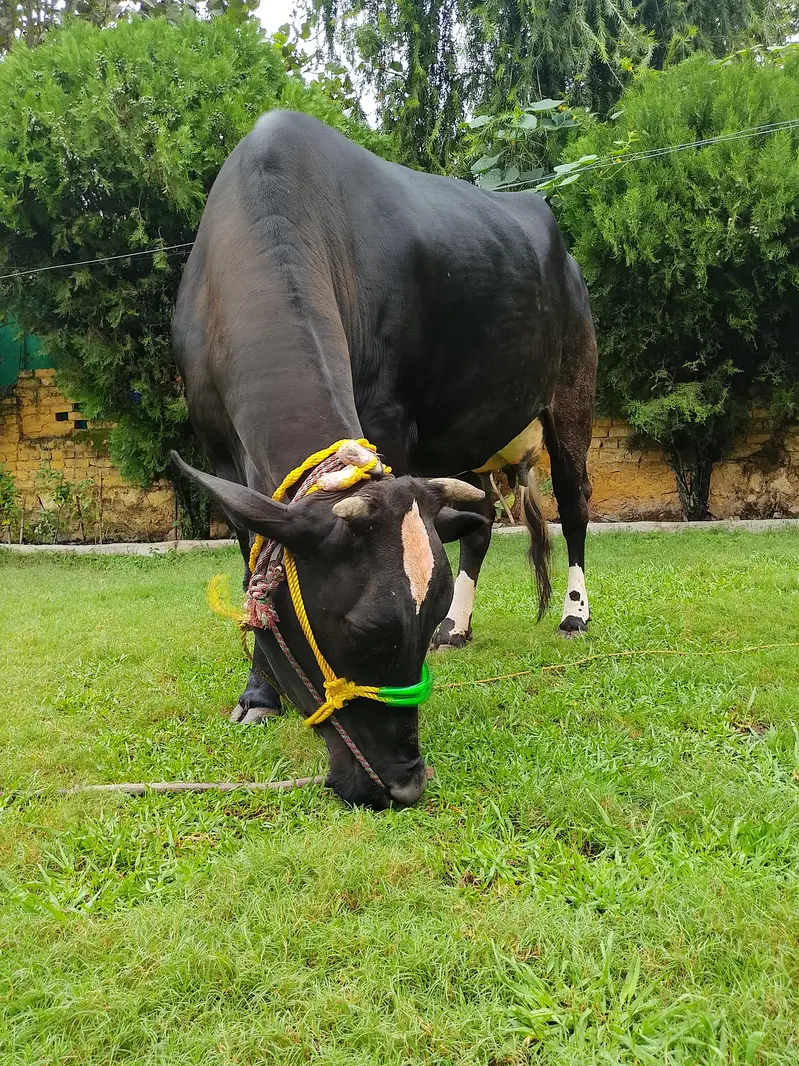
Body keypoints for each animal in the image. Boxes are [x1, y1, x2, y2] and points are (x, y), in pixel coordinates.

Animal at [171, 110, 597, 810]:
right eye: (370, 635)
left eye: (411, 634)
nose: (404, 783)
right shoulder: (221, 455)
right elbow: (254, 565)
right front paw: (258, 695)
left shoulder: (390, 419)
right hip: (466, 438)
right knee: (480, 525)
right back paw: (462, 626)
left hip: (571, 397)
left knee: (576, 507)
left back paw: (573, 612)